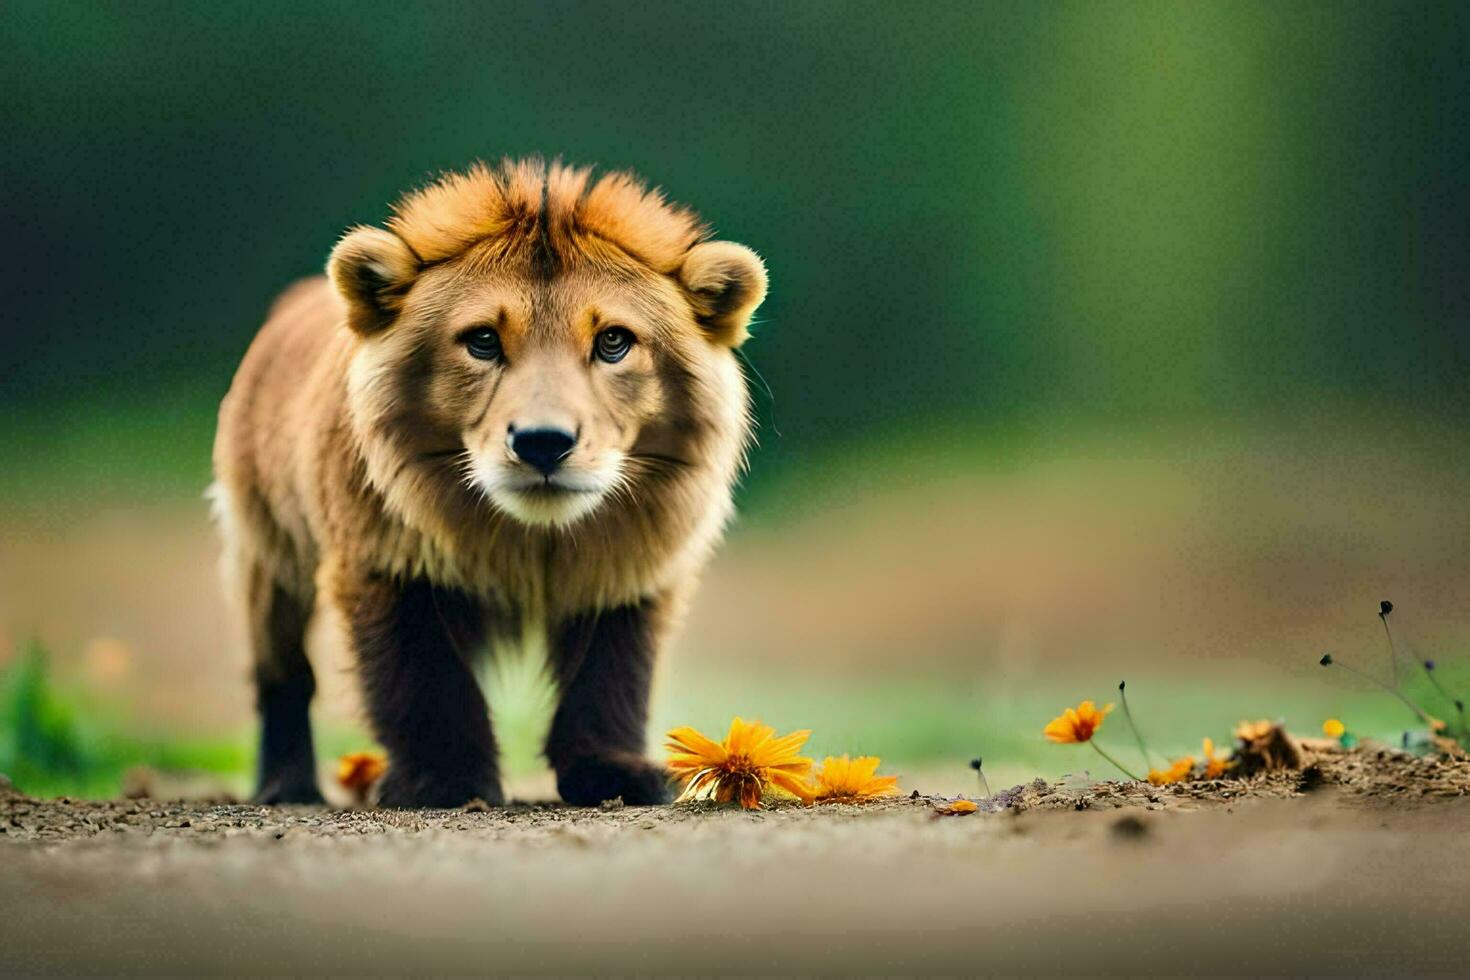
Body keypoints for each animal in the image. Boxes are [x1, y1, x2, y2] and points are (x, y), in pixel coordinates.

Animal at [217, 159, 770, 805]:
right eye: (482, 340)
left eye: (613, 341)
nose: (542, 441)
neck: (531, 540)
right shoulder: (390, 562)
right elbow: (427, 682)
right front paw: (445, 781)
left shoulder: (629, 571)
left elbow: (609, 679)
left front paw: (615, 773)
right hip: (268, 548)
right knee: (282, 674)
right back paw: (286, 785)